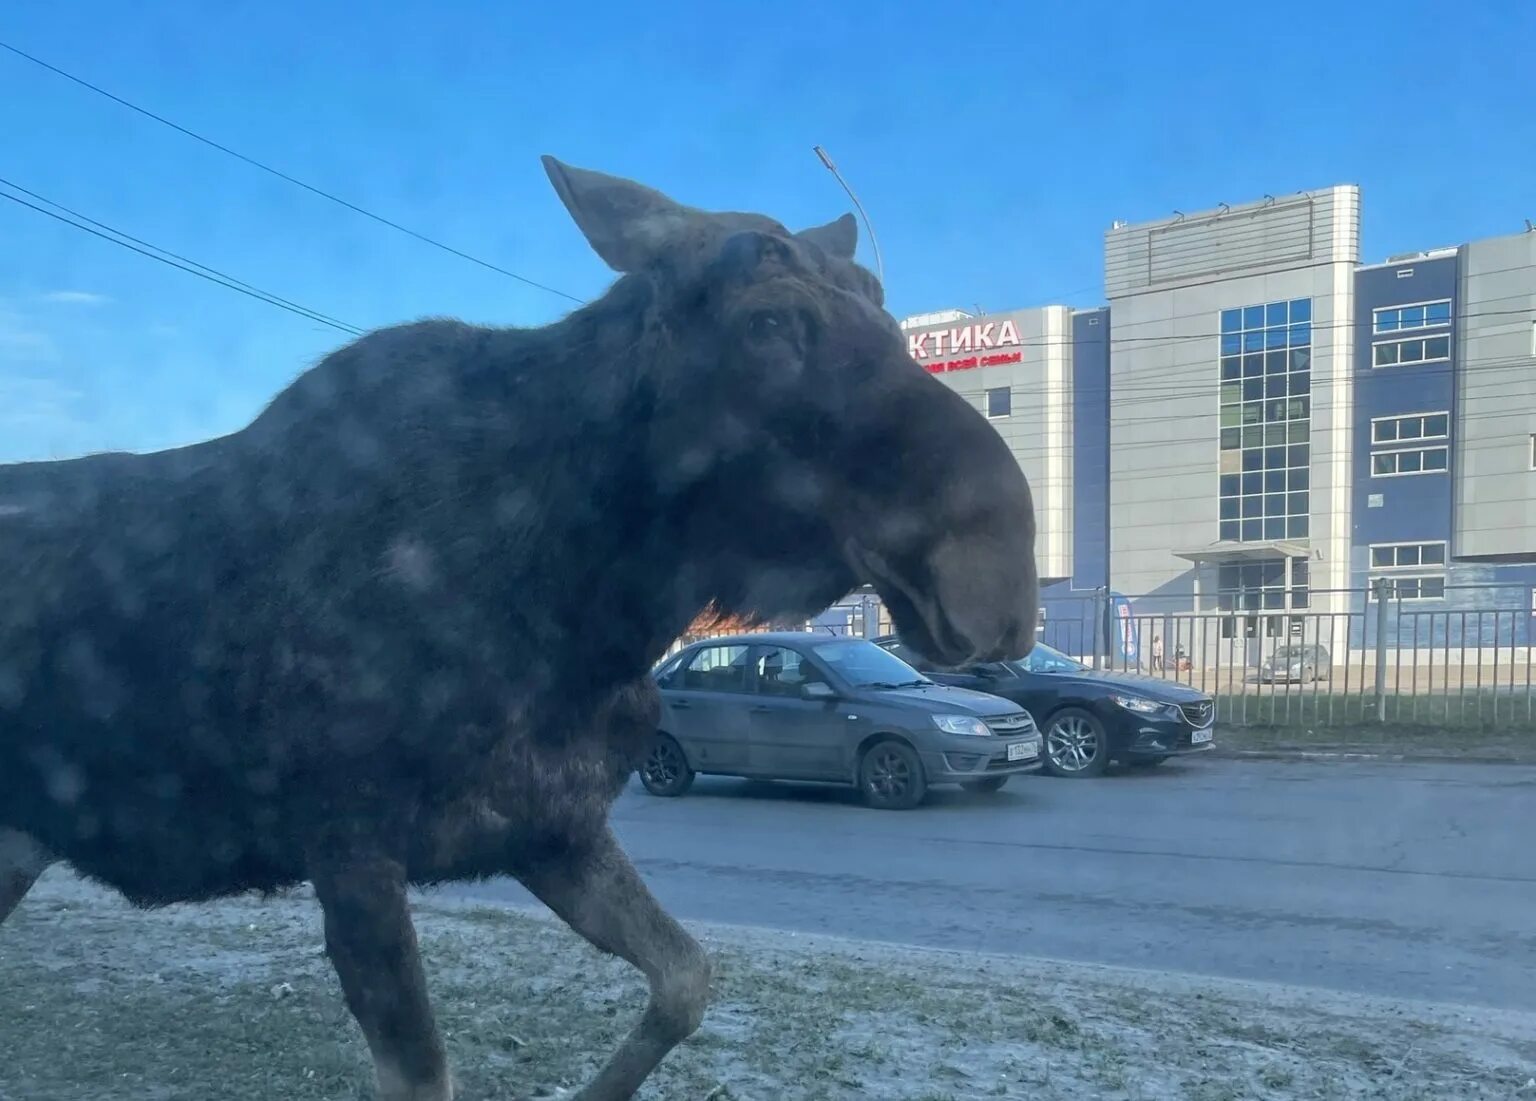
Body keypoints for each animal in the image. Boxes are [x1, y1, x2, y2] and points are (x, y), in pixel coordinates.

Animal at [0, 156, 1038, 1099]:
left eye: (887, 316)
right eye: (768, 320)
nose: (1002, 568)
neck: (582, 613)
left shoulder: (554, 828)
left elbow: (688, 978)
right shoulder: (350, 847)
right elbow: (429, 1072)